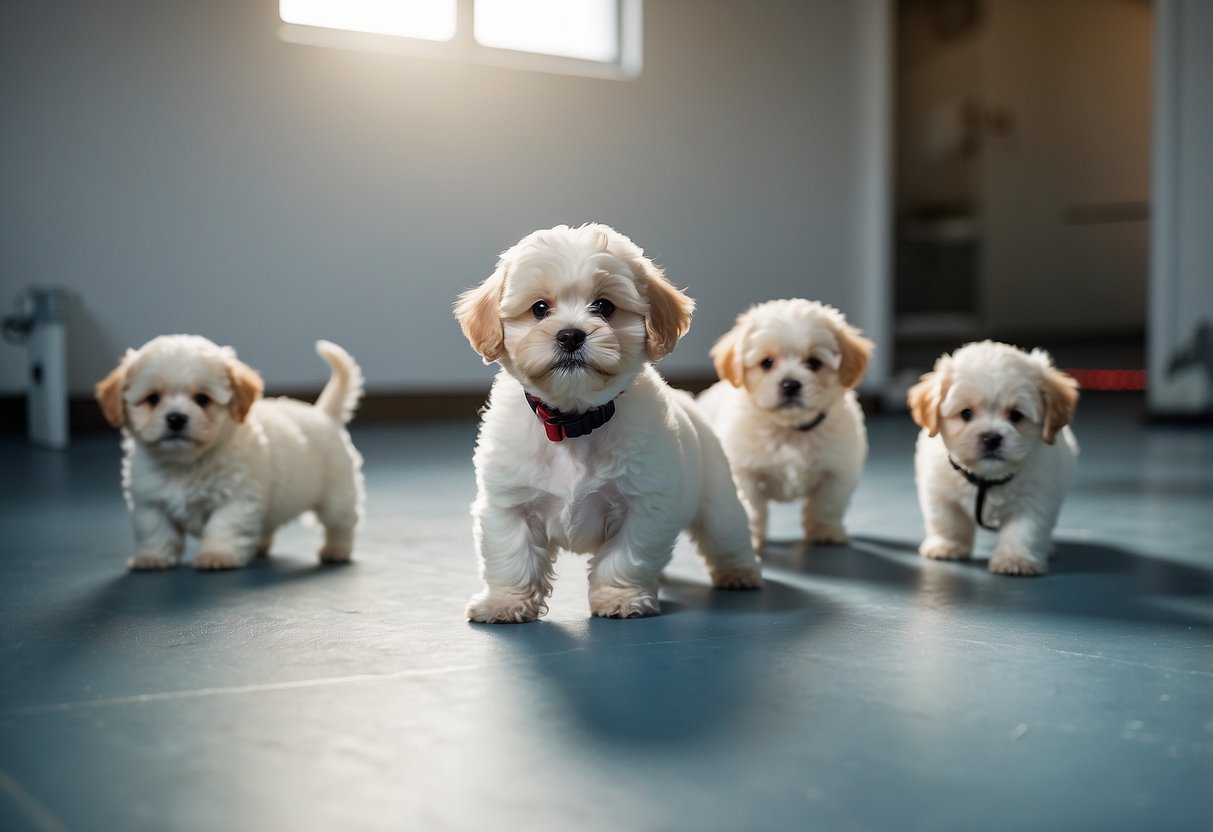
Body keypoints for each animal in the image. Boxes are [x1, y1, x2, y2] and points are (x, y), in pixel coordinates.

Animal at [95, 334, 363, 570]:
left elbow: (223, 526)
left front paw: (217, 555)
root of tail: (324, 413)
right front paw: (152, 558)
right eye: (153, 398)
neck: (185, 464)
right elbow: (155, 530)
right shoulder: (149, 502)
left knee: (341, 524)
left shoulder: (237, 499)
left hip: (337, 495)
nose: (176, 418)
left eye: (202, 399)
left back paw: (336, 550)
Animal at [456, 224, 756, 620]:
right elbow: (512, 557)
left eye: (604, 307)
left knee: (728, 535)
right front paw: (506, 602)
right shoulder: (509, 504)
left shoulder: (644, 506)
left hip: (718, 499)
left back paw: (739, 573)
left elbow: (625, 557)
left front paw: (620, 598)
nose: (570, 334)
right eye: (539, 308)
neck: (574, 421)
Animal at [703, 298, 873, 553]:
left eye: (814, 363)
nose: (790, 384)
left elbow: (826, 505)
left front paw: (825, 531)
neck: (790, 430)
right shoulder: (744, 471)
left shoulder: (838, 471)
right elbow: (751, 507)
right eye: (767, 363)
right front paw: (749, 538)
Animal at [912, 342, 1081, 577]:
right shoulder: (939, 492)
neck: (987, 477)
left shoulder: (1036, 498)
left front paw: (1015, 560)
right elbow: (948, 522)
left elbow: (1024, 531)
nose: (991, 438)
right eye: (966, 413)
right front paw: (948, 546)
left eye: (1016, 416)